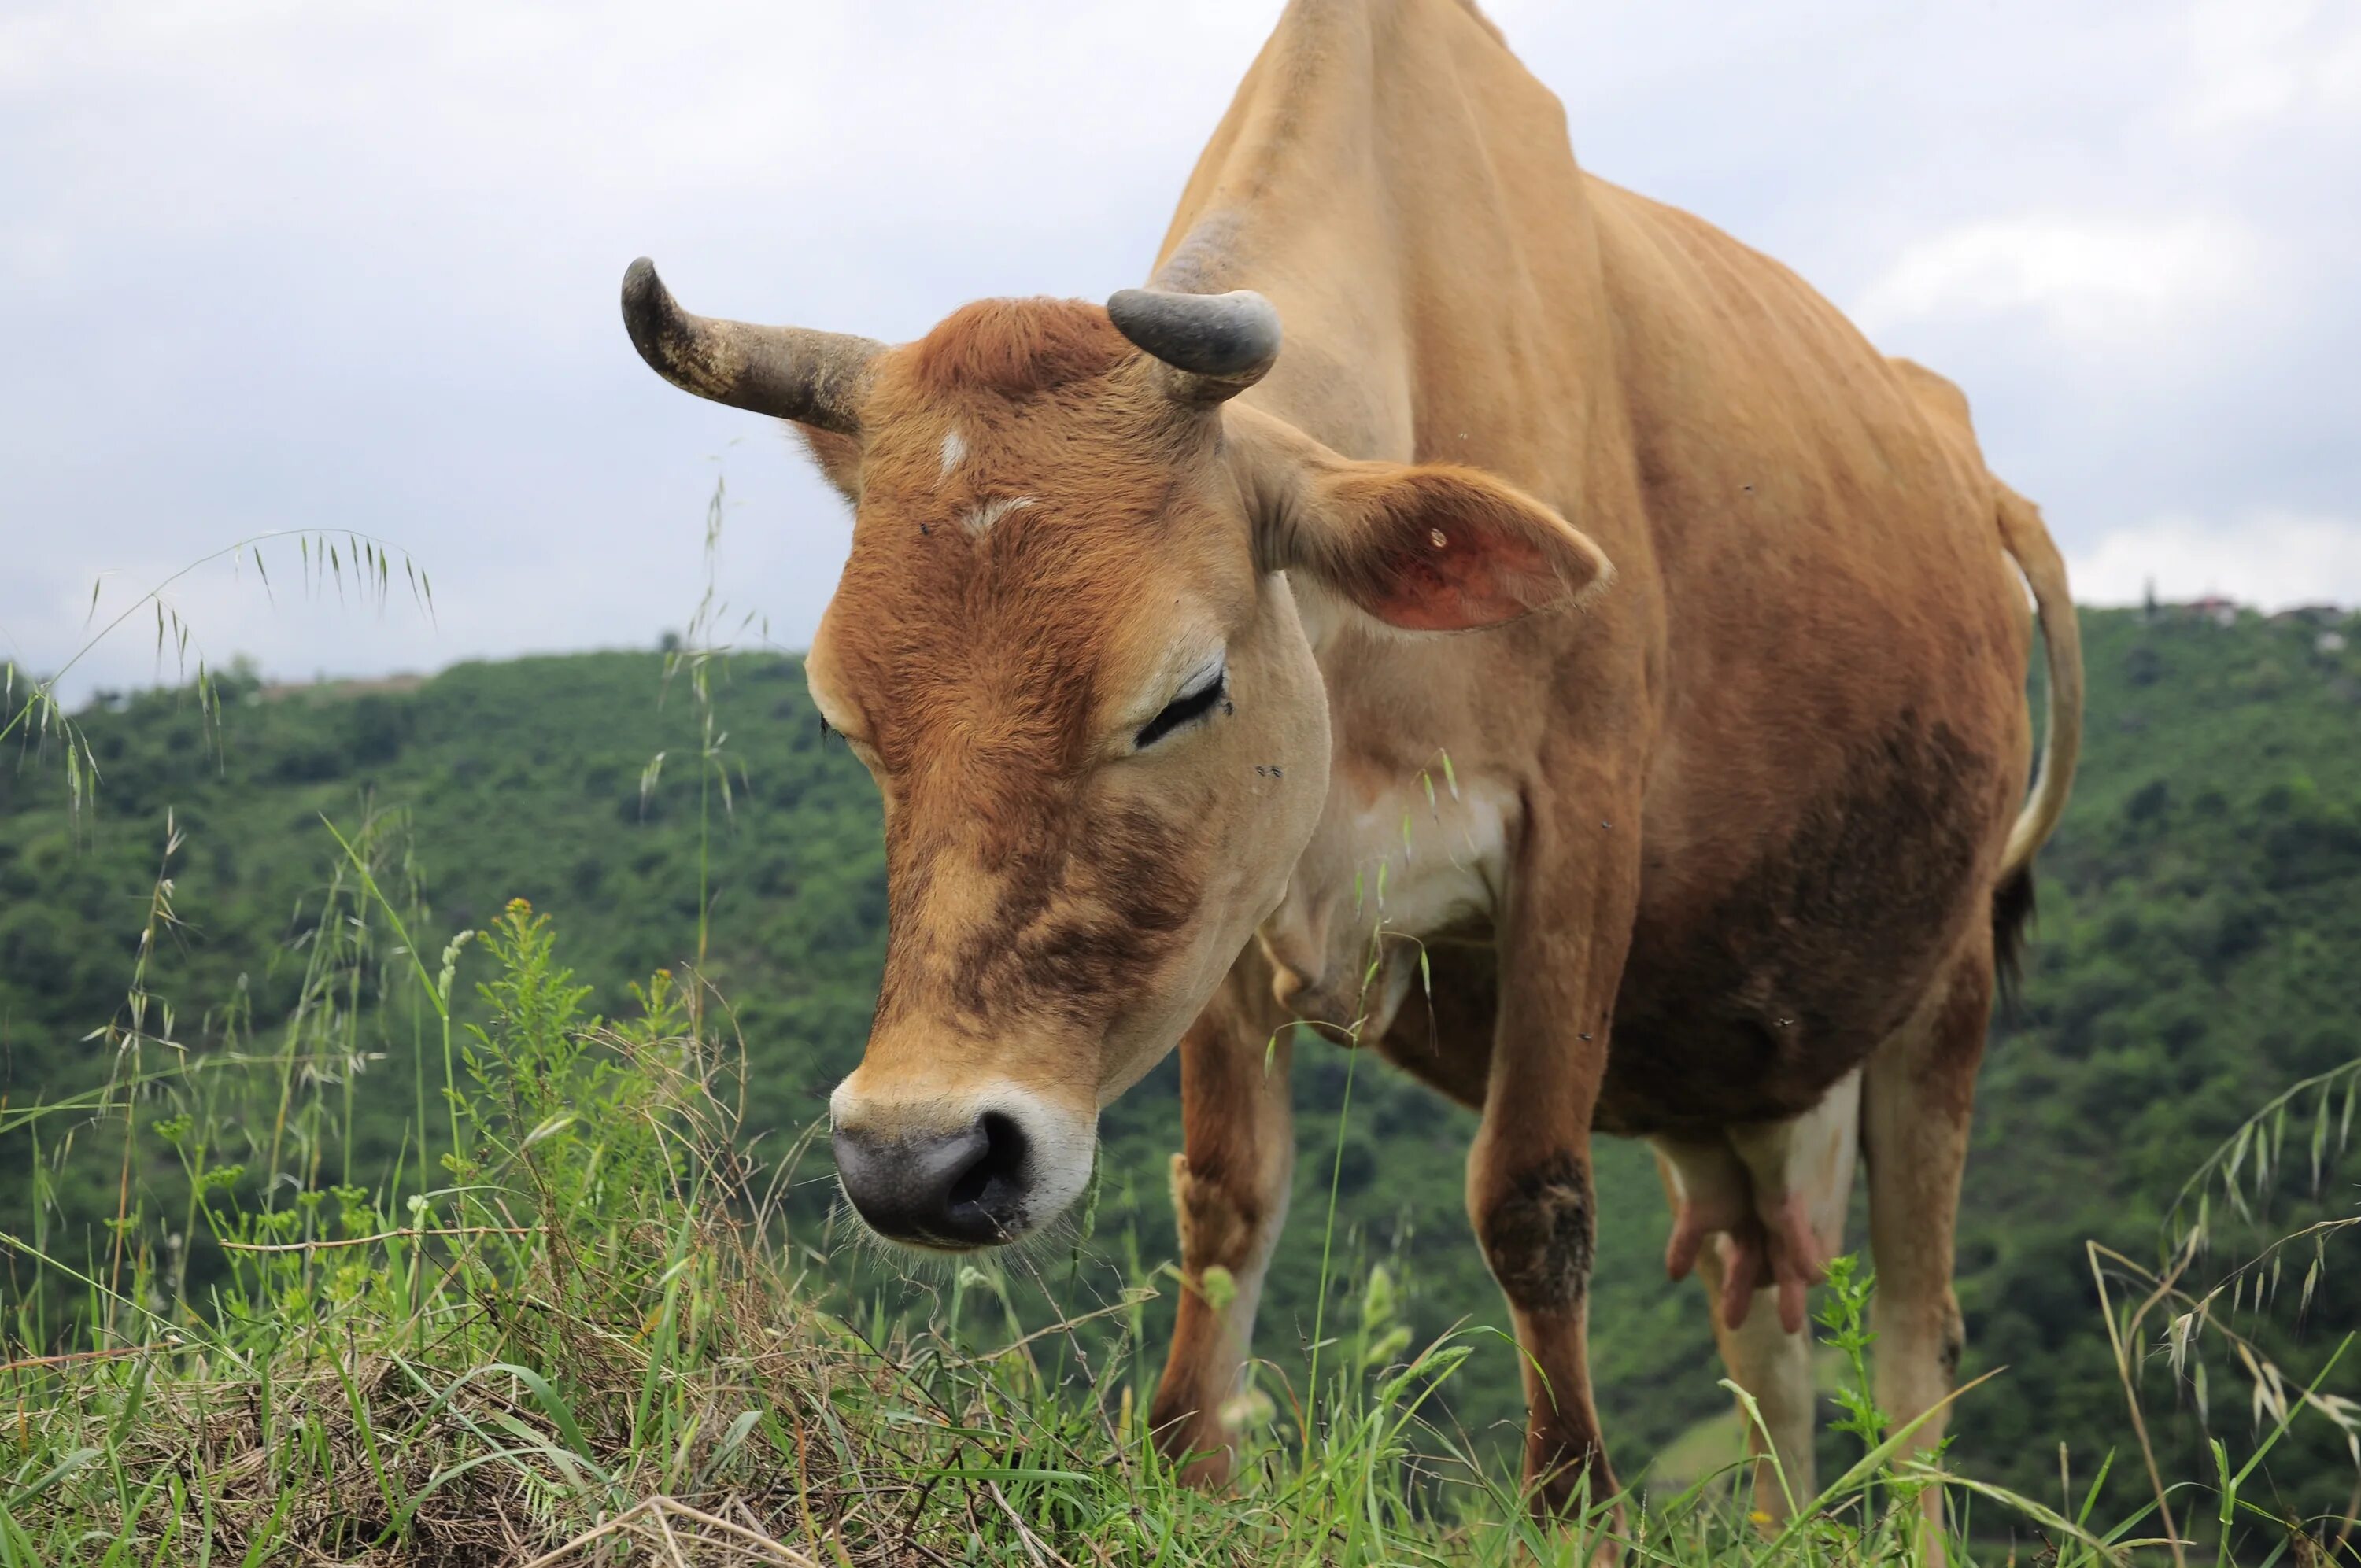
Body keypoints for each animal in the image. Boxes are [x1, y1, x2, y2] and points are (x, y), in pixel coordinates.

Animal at [619, 0, 2078, 1520]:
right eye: (846, 717)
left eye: (1185, 694)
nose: (917, 1160)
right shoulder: (1227, 906)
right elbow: (1225, 1199)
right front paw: (1189, 1475)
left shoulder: (1579, 839)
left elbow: (1532, 1197)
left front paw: (1573, 1508)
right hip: (1731, 1081)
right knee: (1768, 1337)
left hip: (1942, 987)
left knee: (1909, 1341)